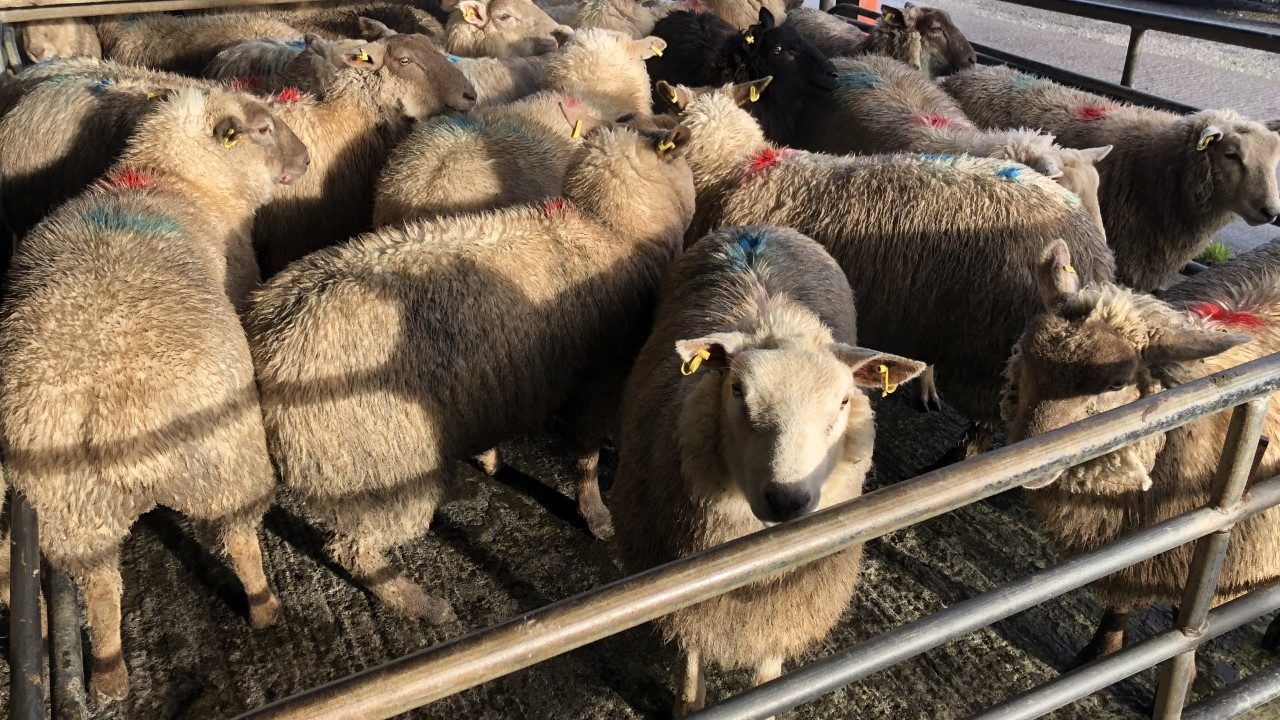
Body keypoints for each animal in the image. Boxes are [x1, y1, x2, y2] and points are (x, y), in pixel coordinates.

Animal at [0, 86, 309, 701]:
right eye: (263, 127)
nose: (308, 159)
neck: (173, 180)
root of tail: (111, 419)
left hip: (74, 514)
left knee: (100, 588)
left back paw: (111, 671)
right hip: (227, 464)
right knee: (240, 539)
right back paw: (265, 607)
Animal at [246, 122, 695, 617]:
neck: (606, 228)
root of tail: (266, 342)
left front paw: (490, 458)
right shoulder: (604, 376)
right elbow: (588, 453)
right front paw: (595, 514)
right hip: (380, 468)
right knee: (355, 549)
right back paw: (421, 604)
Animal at [611, 225, 925, 716]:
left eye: (843, 400)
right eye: (738, 389)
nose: (787, 498)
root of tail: (756, 230)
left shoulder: (782, 606)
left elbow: (768, 678)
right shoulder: (691, 600)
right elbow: (692, 667)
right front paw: (687, 702)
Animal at [1001, 238, 1280, 667]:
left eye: (1117, 383)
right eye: (1028, 353)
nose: (1029, 467)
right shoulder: (1133, 541)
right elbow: (1122, 598)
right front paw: (1104, 652)